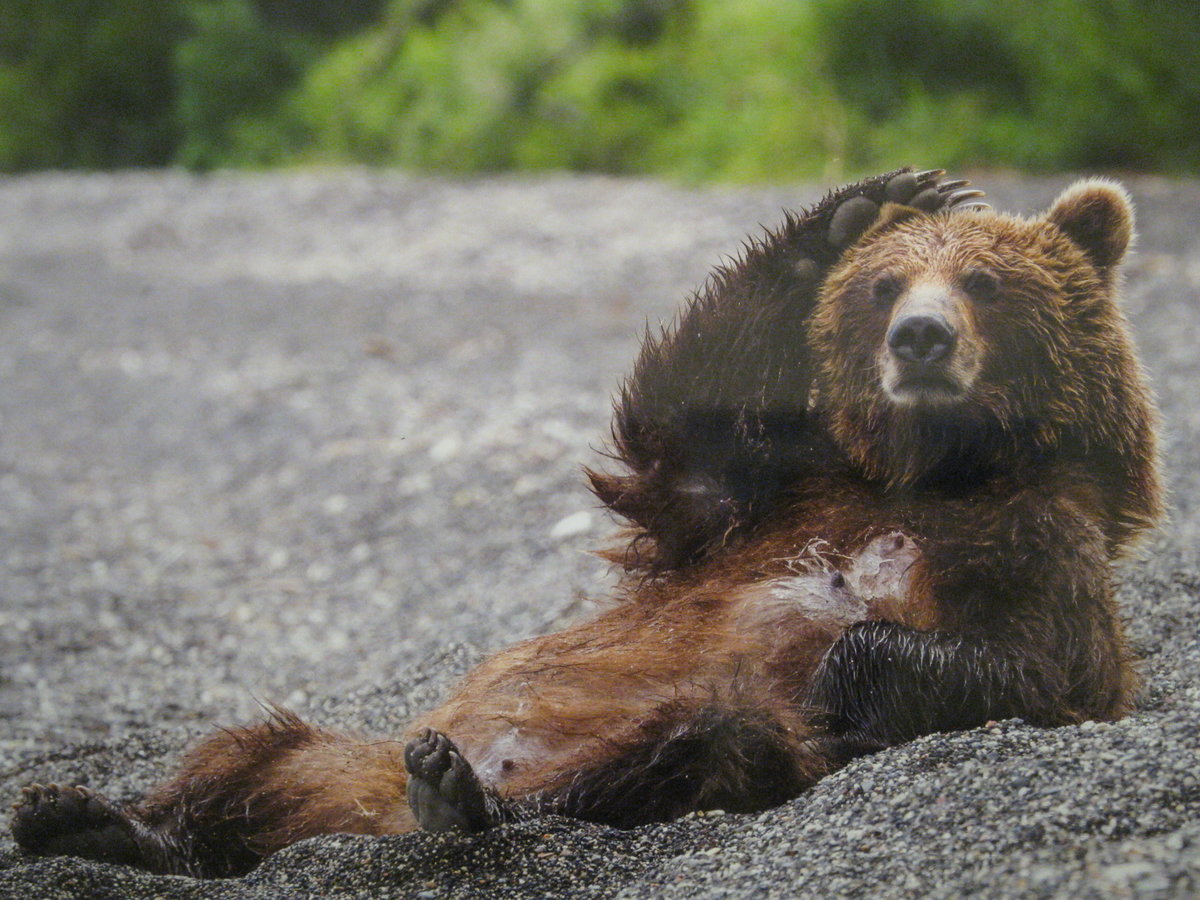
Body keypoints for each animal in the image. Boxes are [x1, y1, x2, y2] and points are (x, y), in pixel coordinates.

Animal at [10, 169, 1161, 878]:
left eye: (985, 280)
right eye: (882, 287)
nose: (920, 337)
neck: (924, 473)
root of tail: (359, 825)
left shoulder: (1038, 544)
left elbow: (1046, 675)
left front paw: (853, 664)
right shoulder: (758, 502)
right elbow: (681, 426)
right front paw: (864, 204)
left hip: (651, 744)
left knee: (702, 744)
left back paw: (463, 800)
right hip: (336, 754)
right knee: (242, 753)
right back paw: (91, 819)